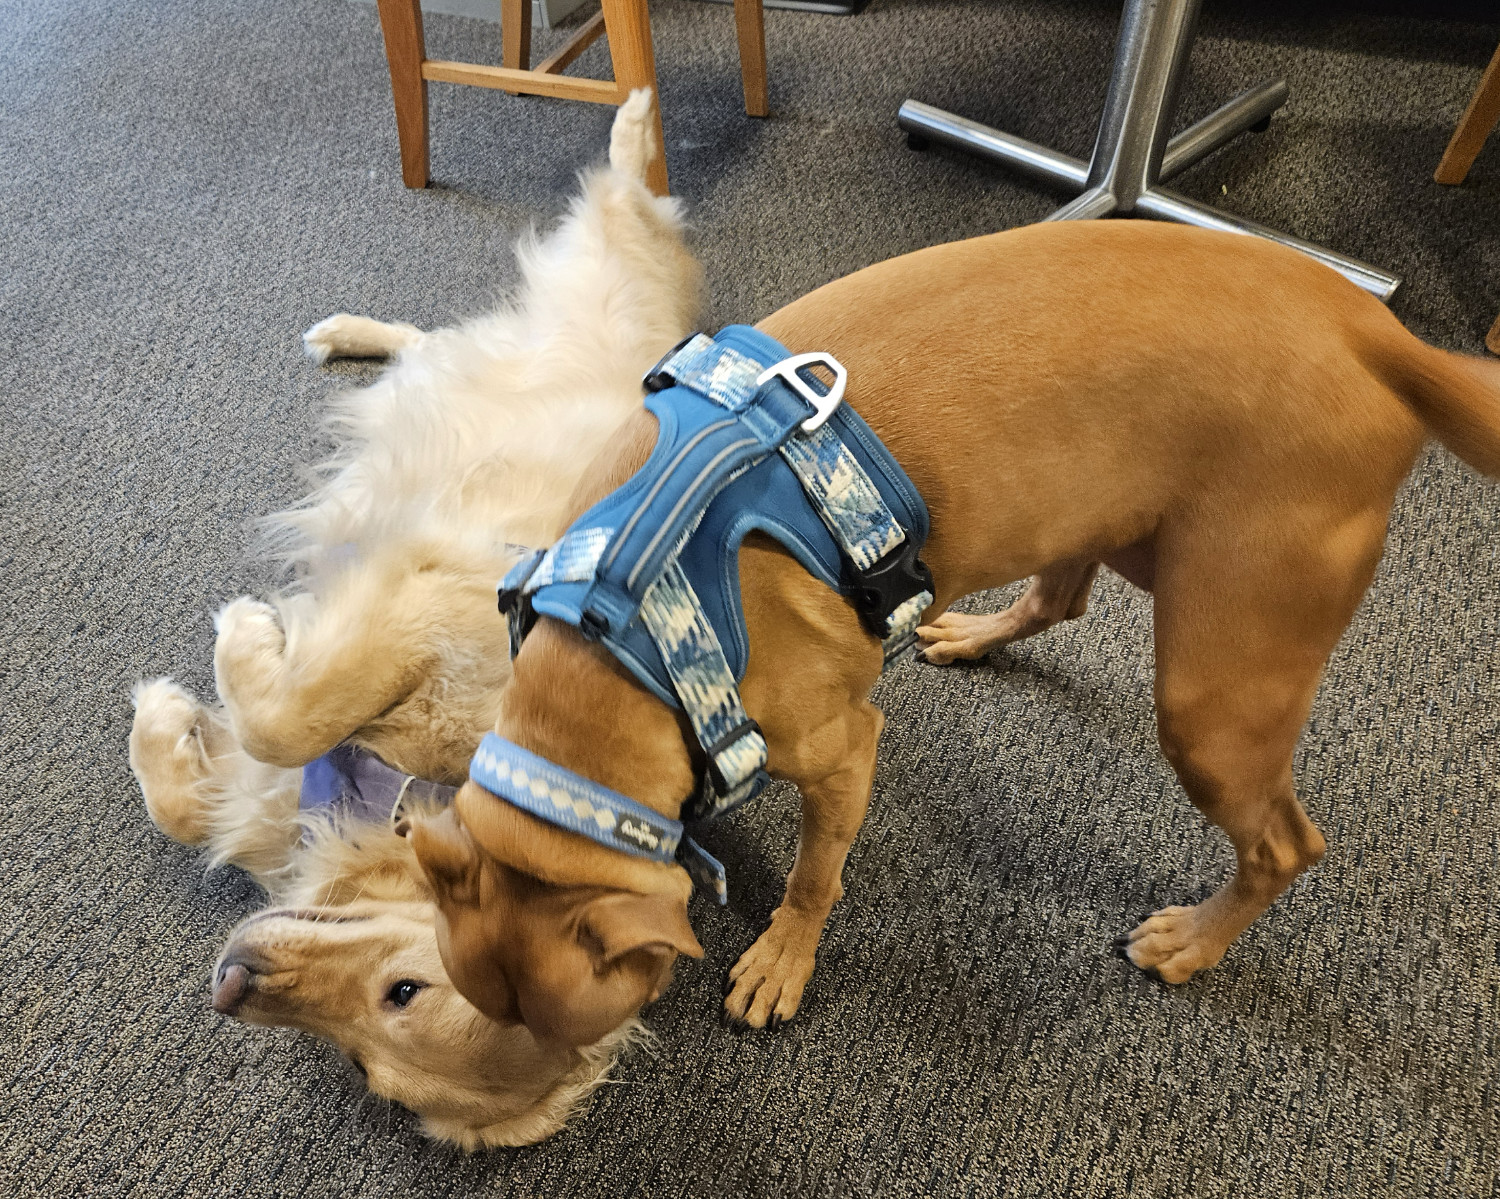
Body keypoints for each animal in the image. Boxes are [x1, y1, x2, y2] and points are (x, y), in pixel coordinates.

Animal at [411, 220, 1500, 1044]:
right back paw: (975, 631)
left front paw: (783, 955)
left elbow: (814, 874)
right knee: (1063, 598)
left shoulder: (846, 748)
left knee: (1285, 842)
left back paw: (1194, 939)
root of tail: (1378, 334)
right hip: (1118, 524)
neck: (612, 643)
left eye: (573, 1037)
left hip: (1215, 688)